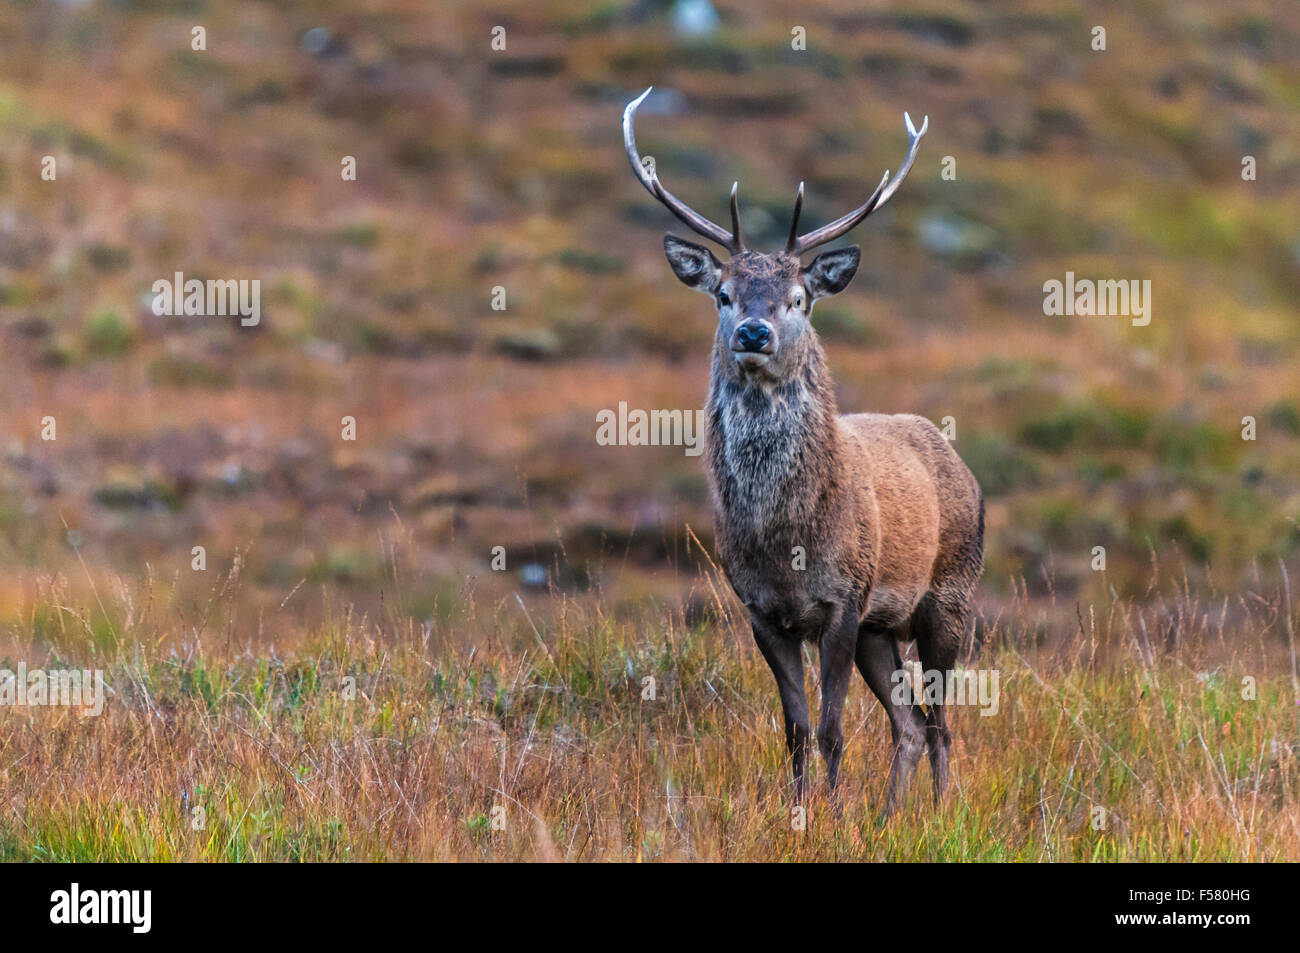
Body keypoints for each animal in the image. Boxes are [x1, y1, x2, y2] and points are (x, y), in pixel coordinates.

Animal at [624, 85, 977, 816]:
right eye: (723, 294)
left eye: (797, 298)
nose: (754, 332)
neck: (786, 539)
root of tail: (962, 463)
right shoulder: (764, 612)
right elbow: (793, 729)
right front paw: (802, 813)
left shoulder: (844, 599)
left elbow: (833, 727)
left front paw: (835, 815)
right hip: (882, 629)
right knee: (907, 724)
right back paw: (890, 815)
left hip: (950, 599)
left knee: (940, 723)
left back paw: (938, 811)